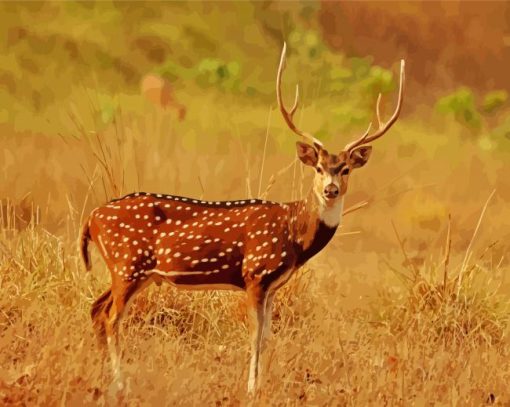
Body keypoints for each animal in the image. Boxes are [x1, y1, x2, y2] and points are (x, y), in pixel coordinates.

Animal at [79, 43, 404, 396]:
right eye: (318, 168)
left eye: (345, 169)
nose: (330, 190)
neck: (293, 234)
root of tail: (91, 219)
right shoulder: (255, 273)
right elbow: (254, 335)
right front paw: (251, 388)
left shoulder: (274, 285)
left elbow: (267, 335)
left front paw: (262, 383)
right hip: (128, 263)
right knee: (111, 317)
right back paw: (120, 383)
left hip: (131, 271)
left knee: (96, 309)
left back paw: (102, 375)